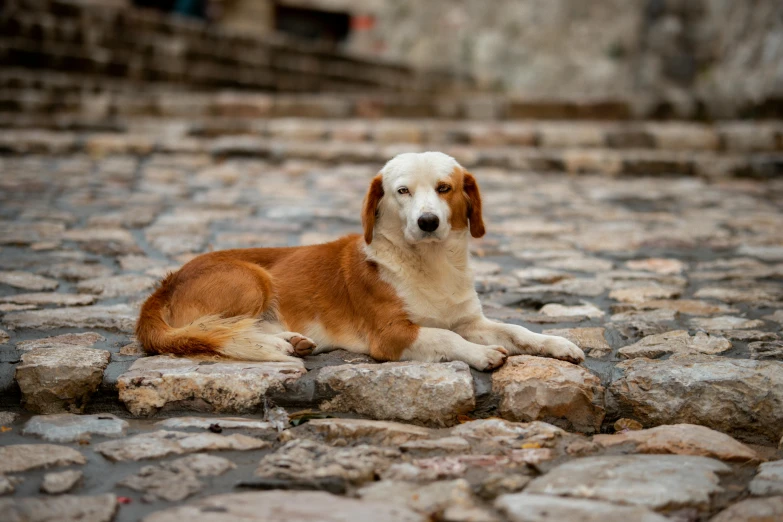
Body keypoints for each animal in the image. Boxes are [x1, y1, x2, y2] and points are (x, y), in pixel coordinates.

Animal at [138, 150, 584, 370]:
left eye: (444, 188)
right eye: (402, 191)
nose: (427, 222)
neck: (432, 264)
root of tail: (164, 284)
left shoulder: (469, 320)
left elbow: (516, 329)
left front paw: (558, 343)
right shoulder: (391, 335)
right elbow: (446, 339)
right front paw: (481, 355)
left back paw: (289, 341)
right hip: (253, 278)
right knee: (214, 329)